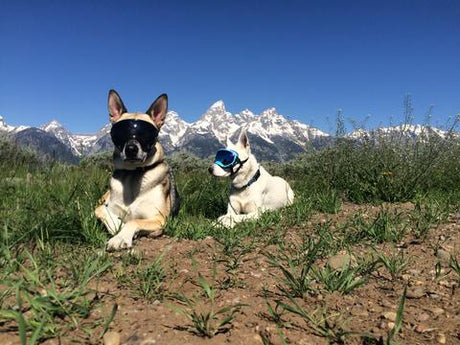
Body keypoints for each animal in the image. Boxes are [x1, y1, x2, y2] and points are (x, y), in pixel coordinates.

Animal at [95, 89, 180, 250]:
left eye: (146, 133)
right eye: (120, 132)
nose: (131, 149)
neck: (133, 174)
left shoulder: (159, 218)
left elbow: (133, 221)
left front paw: (120, 238)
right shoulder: (110, 206)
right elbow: (100, 210)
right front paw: (116, 225)